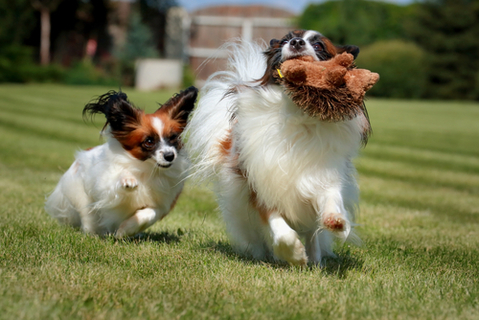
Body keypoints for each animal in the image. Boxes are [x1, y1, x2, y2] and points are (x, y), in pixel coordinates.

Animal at [46, 87, 199, 238]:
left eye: (173, 138)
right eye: (149, 142)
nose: (170, 156)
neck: (147, 169)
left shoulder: (162, 204)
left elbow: (149, 214)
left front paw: (125, 230)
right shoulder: (104, 187)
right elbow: (115, 180)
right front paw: (128, 180)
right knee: (89, 217)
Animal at [186, 30, 370, 264]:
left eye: (318, 46)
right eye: (285, 40)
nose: (296, 42)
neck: (297, 112)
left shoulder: (323, 173)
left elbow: (330, 197)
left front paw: (335, 220)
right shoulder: (261, 184)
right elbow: (280, 230)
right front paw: (295, 255)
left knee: (312, 230)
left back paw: (315, 258)